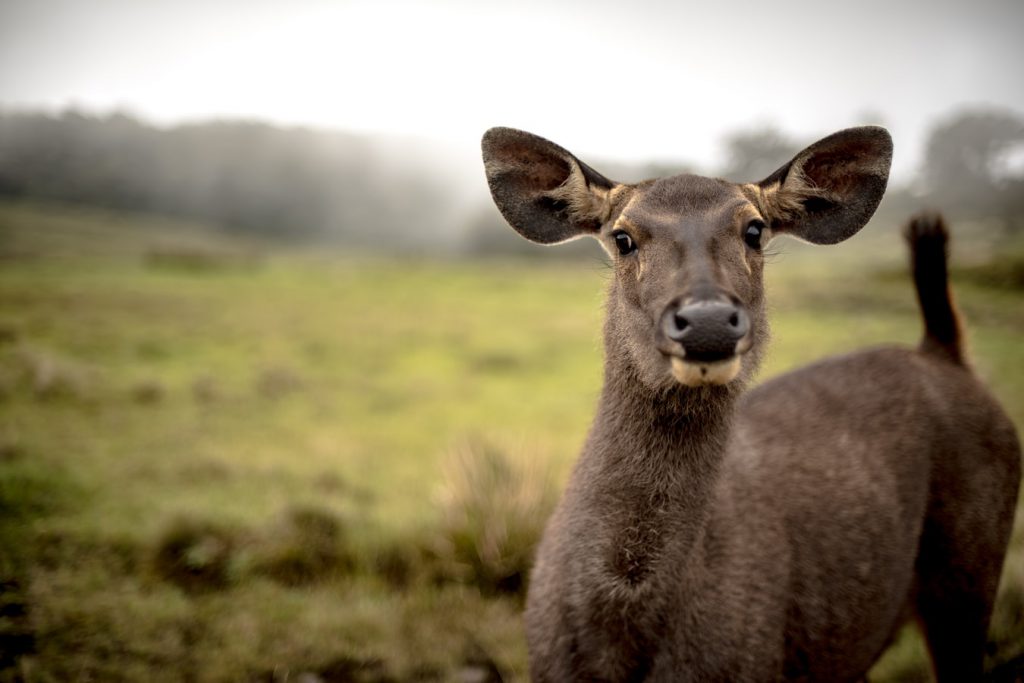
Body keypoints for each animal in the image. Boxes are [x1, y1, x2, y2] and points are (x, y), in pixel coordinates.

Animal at [480, 126, 1021, 682]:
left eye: (755, 230)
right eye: (623, 237)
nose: (708, 320)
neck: (617, 642)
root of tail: (944, 351)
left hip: (971, 567)